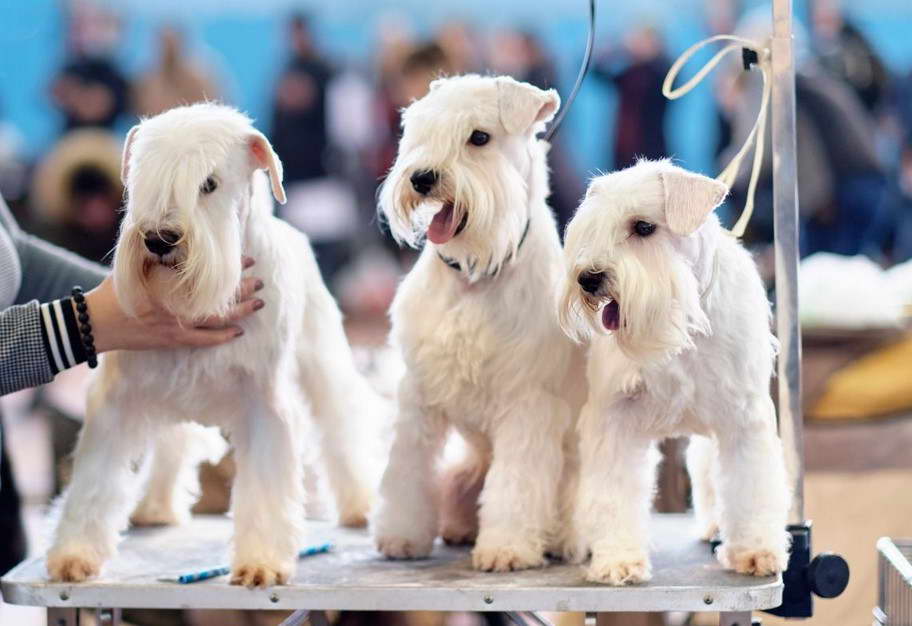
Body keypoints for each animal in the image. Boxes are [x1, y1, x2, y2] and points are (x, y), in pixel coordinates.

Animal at [47, 102, 378, 584]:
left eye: (209, 184)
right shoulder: (117, 400)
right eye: (144, 177)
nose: (159, 239)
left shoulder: (264, 405)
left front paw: (261, 562)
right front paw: (74, 553)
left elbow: (264, 488)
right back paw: (155, 507)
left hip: (322, 365)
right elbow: (94, 480)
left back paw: (361, 505)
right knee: (171, 448)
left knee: (341, 431)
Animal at [374, 75, 588, 568]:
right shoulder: (418, 394)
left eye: (479, 137)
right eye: (419, 130)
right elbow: (407, 470)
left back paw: (563, 539)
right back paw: (458, 527)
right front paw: (401, 536)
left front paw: (506, 547)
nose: (422, 177)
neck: (472, 275)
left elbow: (515, 486)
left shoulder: (527, 404)